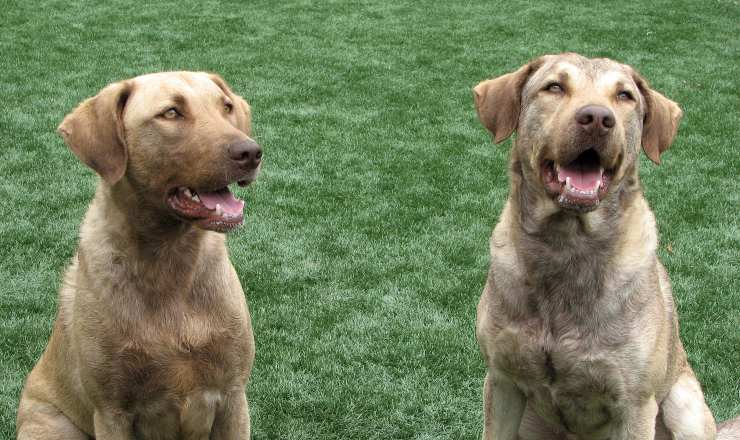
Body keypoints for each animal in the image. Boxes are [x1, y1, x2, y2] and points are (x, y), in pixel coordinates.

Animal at [16, 73, 264, 440]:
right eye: (171, 112)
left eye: (227, 106)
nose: (250, 152)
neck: (170, 261)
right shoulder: (111, 411)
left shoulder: (233, 397)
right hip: (52, 425)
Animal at [474, 54, 736, 440]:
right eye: (554, 86)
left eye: (624, 96)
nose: (598, 118)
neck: (568, 245)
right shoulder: (502, 381)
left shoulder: (635, 405)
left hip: (683, 403)